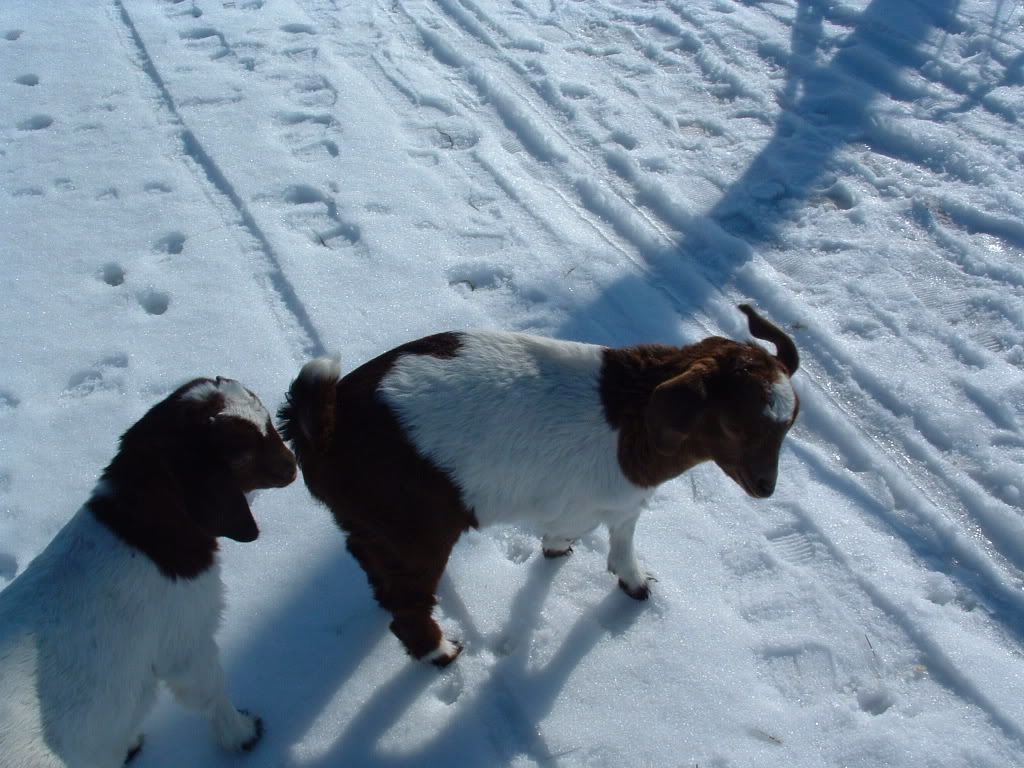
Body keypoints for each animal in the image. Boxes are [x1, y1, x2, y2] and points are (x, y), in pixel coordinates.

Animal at [0, 377, 297, 768]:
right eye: (244, 451)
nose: (293, 464)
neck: (143, 531)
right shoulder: (186, 641)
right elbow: (209, 693)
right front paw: (242, 733)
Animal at [279, 304, 799, 666]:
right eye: (733, 426)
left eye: (788, 425)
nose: (765, 486)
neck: (634, 419)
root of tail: (320, 431)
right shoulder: (613, 501)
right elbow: (618, 538)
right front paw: (630, 582)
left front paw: (563, 552)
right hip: (412, 530)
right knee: (408, 604)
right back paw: (441, 653)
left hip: (373, 527)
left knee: (379, 577)